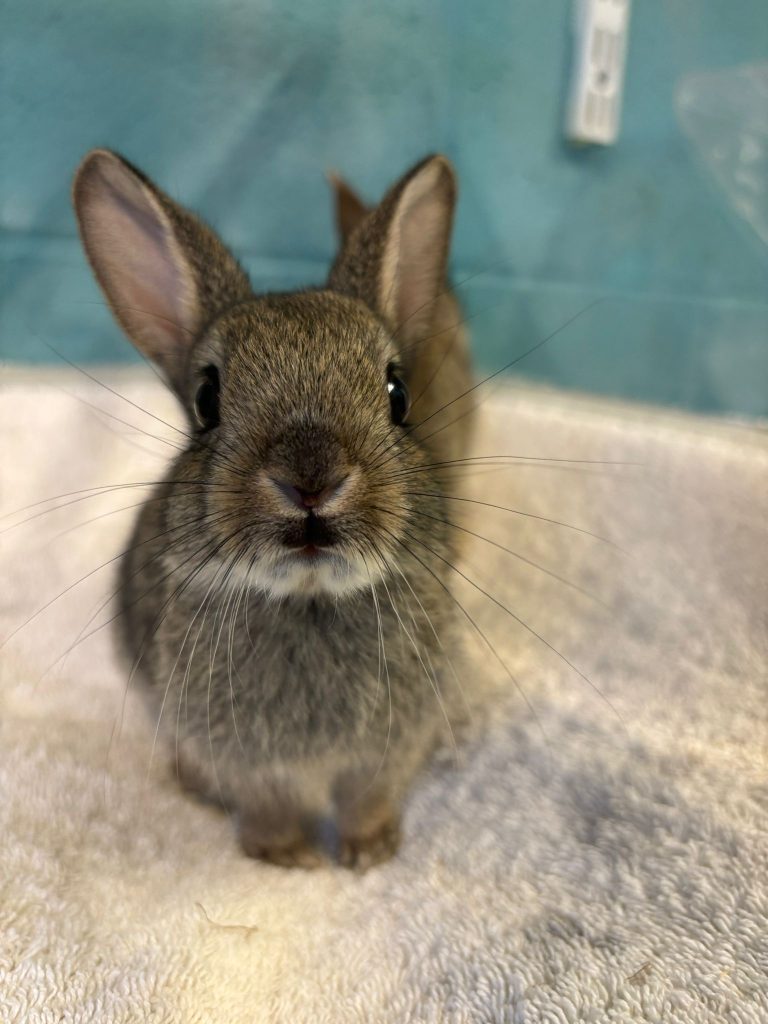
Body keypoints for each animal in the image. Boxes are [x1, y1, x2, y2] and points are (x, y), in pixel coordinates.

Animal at [72, 148, 474, 869]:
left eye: (396, 393)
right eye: (207, 399)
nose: (311, 478)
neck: (309, 597)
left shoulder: (386, 750)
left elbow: (368, 799)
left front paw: (369, 852)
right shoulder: (245, 764)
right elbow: (267, 808)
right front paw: (290, 858)